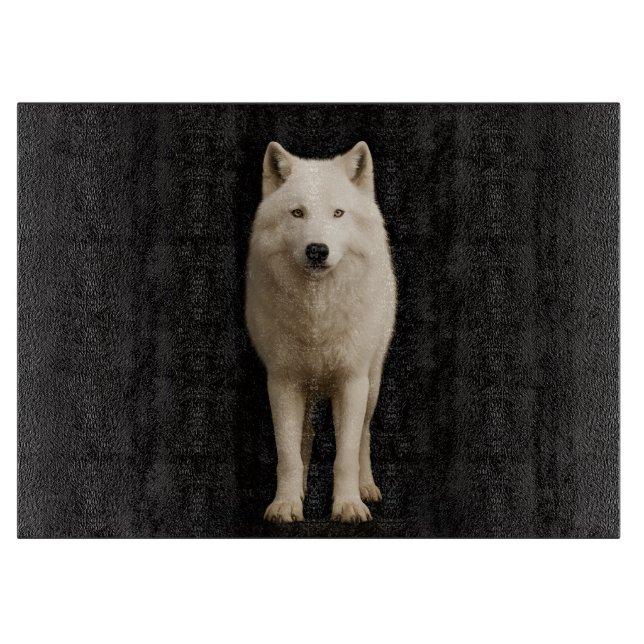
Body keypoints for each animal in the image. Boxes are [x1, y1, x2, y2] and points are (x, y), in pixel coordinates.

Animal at [245, 141, 397, 523]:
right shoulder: (282, 382)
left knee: (364, 436)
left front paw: (348, 505)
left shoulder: (352, 381)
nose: (317, 250)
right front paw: (286, 504)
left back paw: (367, 487)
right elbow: (287, 453)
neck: (317, 314)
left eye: (338, 214)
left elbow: (345, 455)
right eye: (297, 213)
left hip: (373, 384)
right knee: (306, 435)